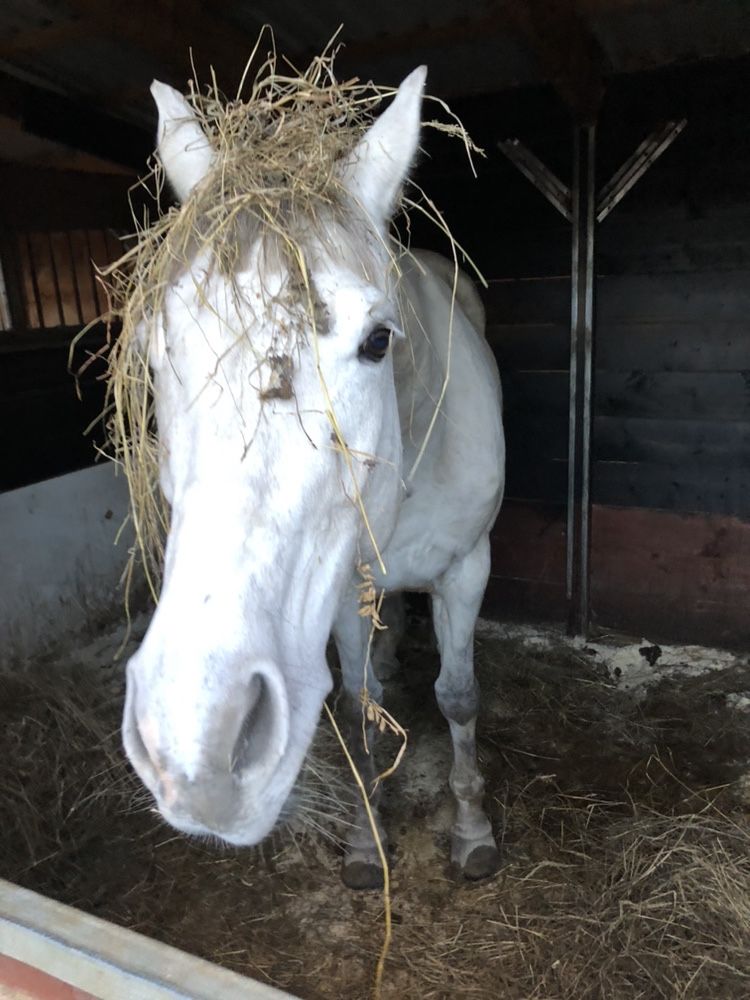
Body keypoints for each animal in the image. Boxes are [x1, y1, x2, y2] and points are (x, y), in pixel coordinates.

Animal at [123, 66, 508, 888]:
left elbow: (459, 697)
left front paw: (472, 829)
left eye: (378, 342)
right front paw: (367, 841)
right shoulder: (342, 592)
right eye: (156, 346)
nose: (200, 748)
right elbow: (362, 705)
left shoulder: (468, 567)